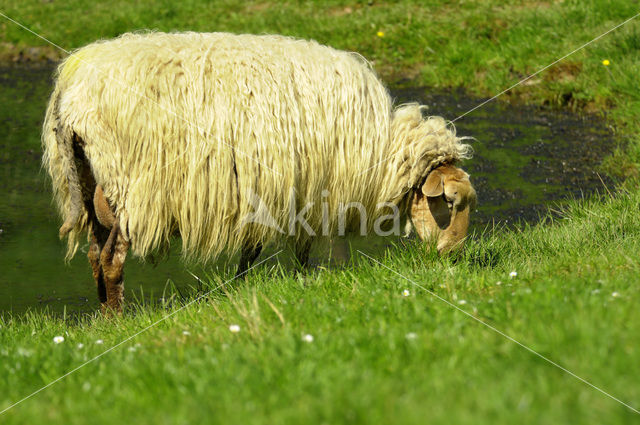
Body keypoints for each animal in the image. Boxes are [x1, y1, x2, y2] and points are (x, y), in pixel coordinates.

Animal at [42, 32, 476, 312]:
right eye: (449, 202)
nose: (452, 256)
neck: (381, 146)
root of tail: (72, 95)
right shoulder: (310, 190)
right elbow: (299, 249)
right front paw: (311, 282)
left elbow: (254, 251)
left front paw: (241, 288)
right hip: (130, 184)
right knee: (112, 258)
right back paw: (118, 319)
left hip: (90, 181)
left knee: (95, 254)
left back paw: (103, 321)